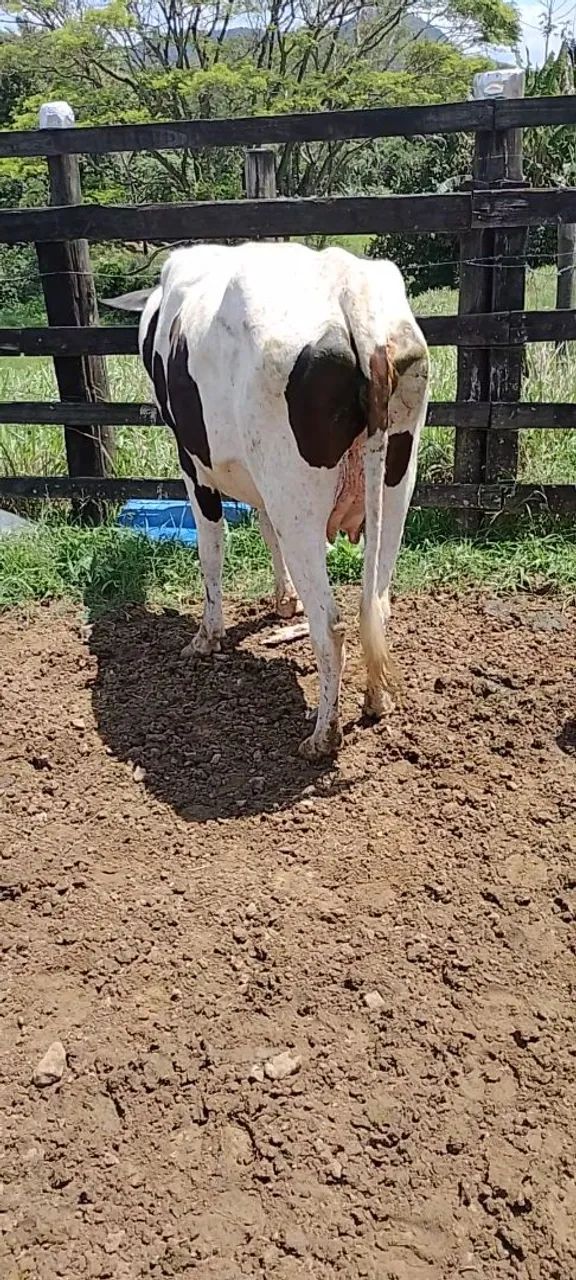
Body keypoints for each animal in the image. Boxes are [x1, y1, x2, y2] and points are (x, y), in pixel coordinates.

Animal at [108, 242, 429, 759]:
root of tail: (350, 288)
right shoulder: (259, 480)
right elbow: (264, 530)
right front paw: (283, 600)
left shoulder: (192, 461)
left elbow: (211, 547)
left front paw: (206, 637)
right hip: (395, 484)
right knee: (374, 605)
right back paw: (377, 702)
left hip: (298, 499)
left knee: (331, 625)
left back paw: (322, 736)